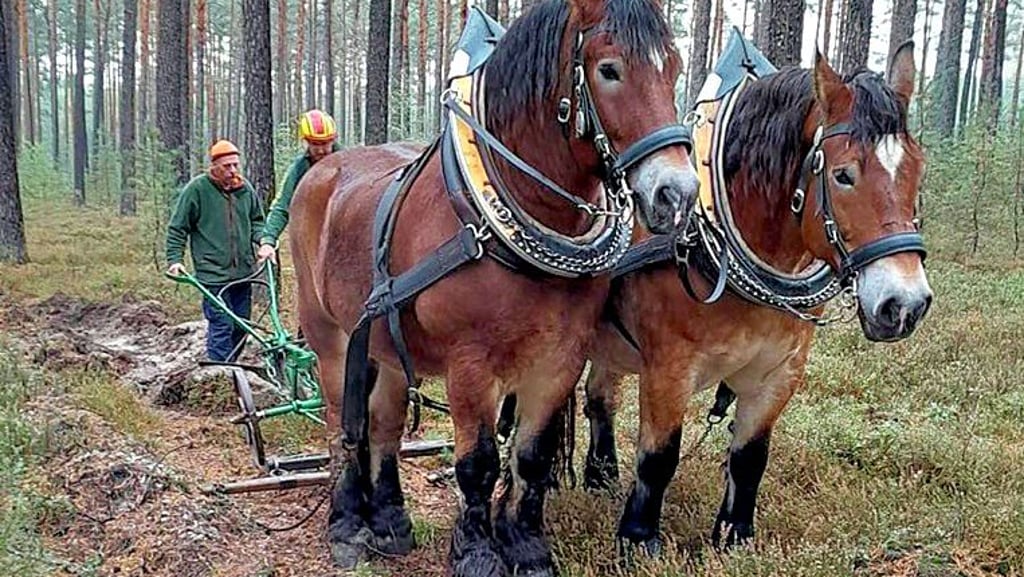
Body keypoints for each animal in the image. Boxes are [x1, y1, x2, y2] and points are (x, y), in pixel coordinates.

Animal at [288, 0, 697, 574]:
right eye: (609, 69)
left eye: (675, 68)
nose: (677, 194)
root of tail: (324, 169)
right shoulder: (471, 365)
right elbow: (478, 463)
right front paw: (477, 551)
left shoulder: (560, 359)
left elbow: (531, 457)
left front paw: (527, 546)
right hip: (330, 337)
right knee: (339, 425)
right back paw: (347, 524)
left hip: (384, 343)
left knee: (384, 424)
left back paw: (389, 521)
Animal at [582, 40, 933, 553]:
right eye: (844, 175)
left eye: (917, 169)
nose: (904, 303)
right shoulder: (668, 368)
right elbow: (659, 457)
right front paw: (638, 539)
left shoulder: (780, 372)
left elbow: (749, 457)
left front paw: (734, 536)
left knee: (600, 396)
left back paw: (599, 476)